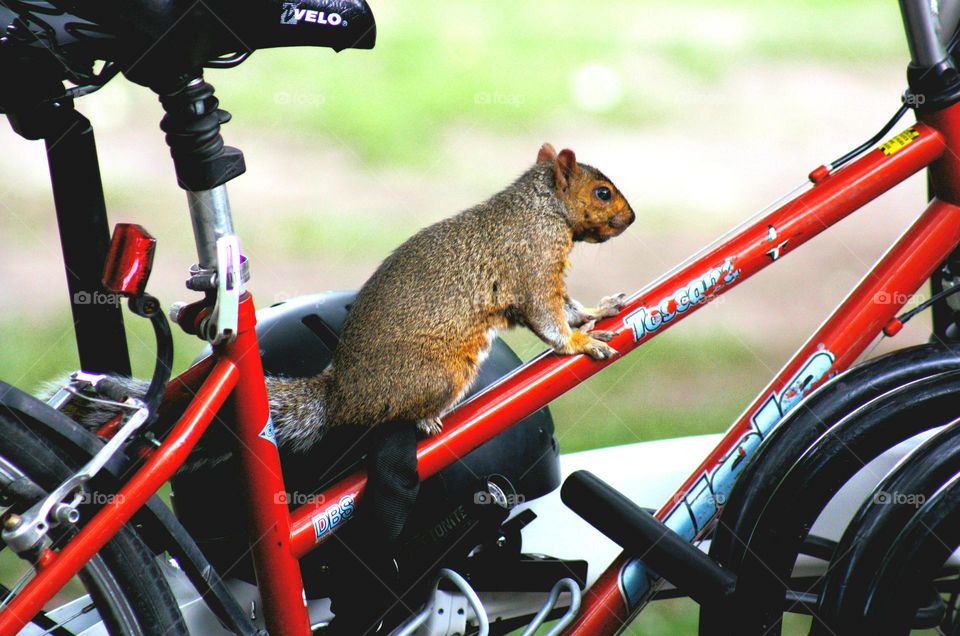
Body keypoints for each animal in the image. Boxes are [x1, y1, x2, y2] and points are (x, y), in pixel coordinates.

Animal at [52, 144, 636, 468]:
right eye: (603, 193)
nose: (631, 218)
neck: (542, 209)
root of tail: (340, 396)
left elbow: (569, 306)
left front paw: (598, 312)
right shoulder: (531, 267)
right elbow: (549, 320)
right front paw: (582, 343)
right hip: (440, 374)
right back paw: (428, 420)